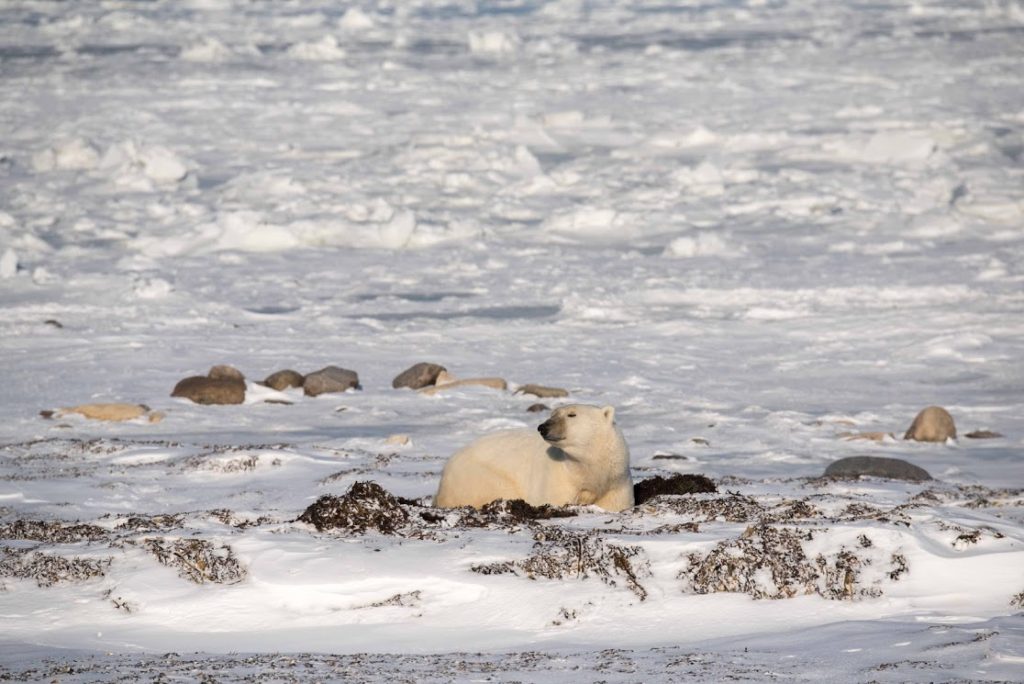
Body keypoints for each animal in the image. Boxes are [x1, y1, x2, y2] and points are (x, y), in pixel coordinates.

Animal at [434, 404, 634, 512]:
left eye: (572, 414)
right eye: (553, 414)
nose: (543, 427)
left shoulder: (616, 483)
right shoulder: (557, 481)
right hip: (478, 477)